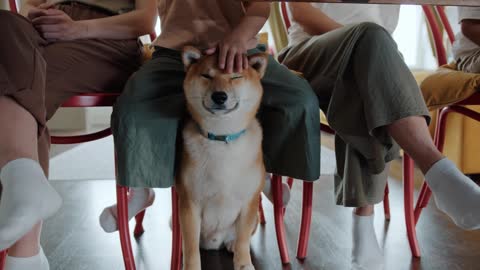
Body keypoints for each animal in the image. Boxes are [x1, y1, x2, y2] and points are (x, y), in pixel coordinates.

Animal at [176, 47, 268, 270]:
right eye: (206, 76)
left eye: (235, 76)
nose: (219, 96)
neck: (221, 138)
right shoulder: (190, 203)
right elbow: (190, 247)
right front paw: (191, 266)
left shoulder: (249, 202)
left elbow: (243, 240)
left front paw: (244, 264)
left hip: (254, 217)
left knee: (241, 238)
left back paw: (232, 244)